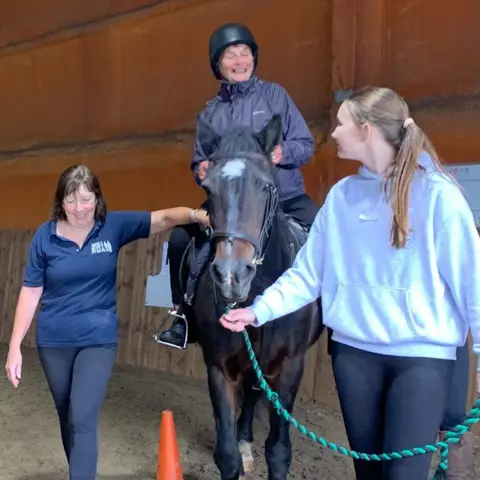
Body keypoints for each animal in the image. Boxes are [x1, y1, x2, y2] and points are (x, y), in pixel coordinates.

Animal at [189, 114, 324, 478]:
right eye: (209, 189)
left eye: (265, 187)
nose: (231, 275)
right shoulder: (219, 366)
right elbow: (226, 454)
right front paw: (237, 449)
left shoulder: (289, 368)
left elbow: (278, 451)